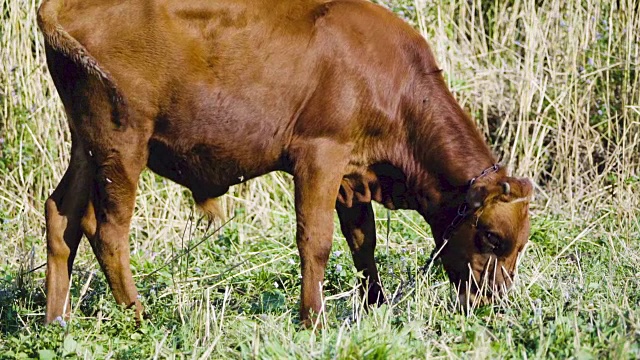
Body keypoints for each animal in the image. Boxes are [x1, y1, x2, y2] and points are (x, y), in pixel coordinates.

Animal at [37, 0, 532, 326]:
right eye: (492, 236)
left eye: (521, 244)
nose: (495, 303)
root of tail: (58, 7)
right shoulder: (319, 156)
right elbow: (316, 241)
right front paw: (313, 318)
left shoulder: (352, 175)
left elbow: (363, 241)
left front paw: (374, 304)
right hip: (122, 144)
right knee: (108, 230)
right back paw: (138, 316)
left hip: (86, 146)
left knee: (62, 216)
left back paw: (56, 320)